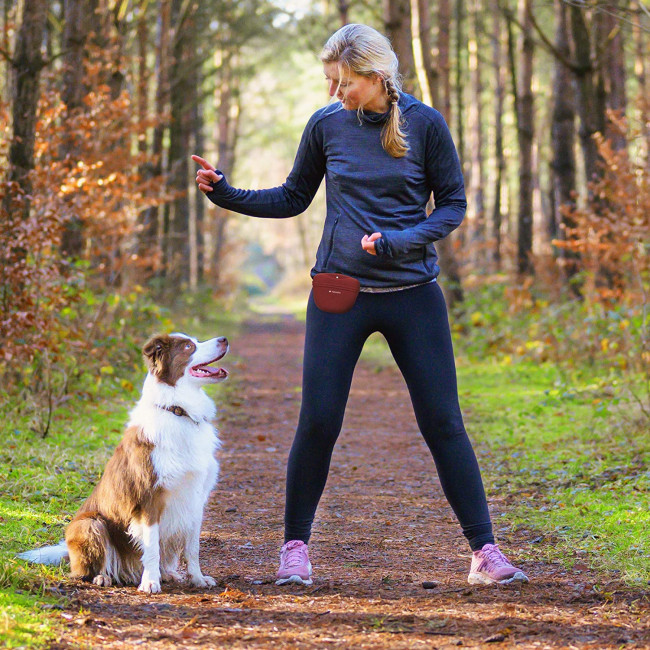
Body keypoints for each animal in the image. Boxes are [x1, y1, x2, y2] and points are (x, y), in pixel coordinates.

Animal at [17, 332, 228, 588]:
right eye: (189, 346)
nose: (224, 339)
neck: (177, 410)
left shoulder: (195, 498)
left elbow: (192, 548)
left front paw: (197, 578)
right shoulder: (148, 497)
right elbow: (151, 547)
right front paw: (150, 583)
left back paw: (166, 574)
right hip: (89, 524)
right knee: (82, 570)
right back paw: (102, 576)